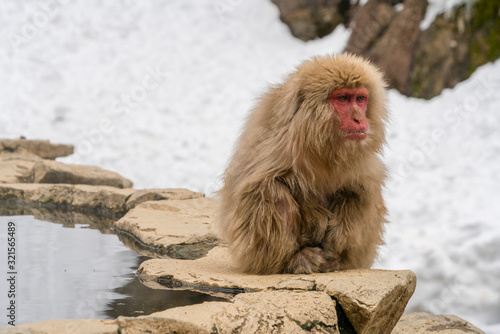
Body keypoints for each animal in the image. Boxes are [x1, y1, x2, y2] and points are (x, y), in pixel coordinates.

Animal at [215, 54, 386, 274]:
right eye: (342, 98)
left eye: (360, 98)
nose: (358, 118)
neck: (323, 140)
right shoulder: (282, 142)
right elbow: (261, 181)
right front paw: (317, 220)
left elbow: (361, 184)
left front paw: (337, 236)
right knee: (269, 188)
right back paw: (291, 261)